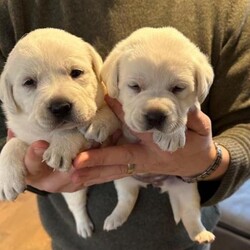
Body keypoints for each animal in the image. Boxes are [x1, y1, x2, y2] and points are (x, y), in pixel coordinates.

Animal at [0, 27, 119, 238]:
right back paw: (83, 226)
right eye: (29, 82)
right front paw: (7, 177)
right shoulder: (26, 134)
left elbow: (82, 125)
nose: (60, 107)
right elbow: (12, 144)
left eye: (76, 72)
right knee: (77, 206)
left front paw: (65, 144)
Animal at [101, 27, 215, 244]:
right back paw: (114, 219)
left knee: (191, 213)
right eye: (134, 86)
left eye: (178, 88)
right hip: (123, 180)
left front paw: (172, 136)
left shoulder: (193, 108)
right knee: (127, 199)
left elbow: (186, 111)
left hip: (187, 189)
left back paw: (201, 234)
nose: (155, 115)